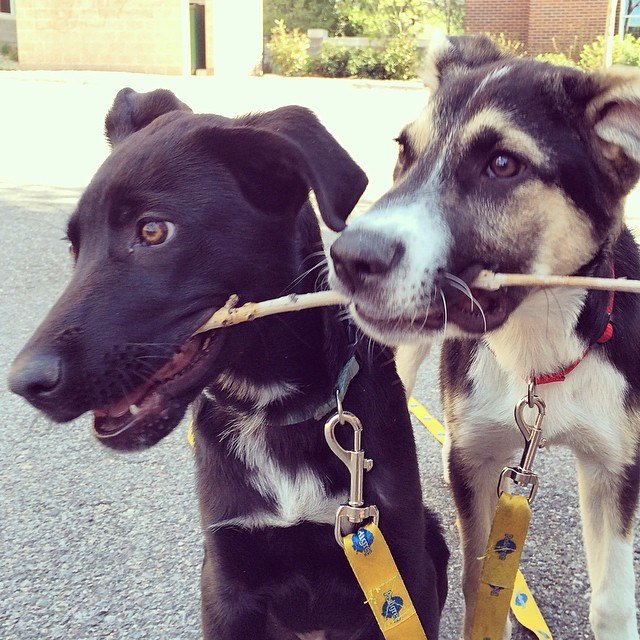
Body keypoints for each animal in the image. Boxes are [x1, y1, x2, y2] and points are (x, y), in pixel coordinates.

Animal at [7, 90, 448, 640]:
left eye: (153, 230)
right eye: (74, 245)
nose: (23, 383)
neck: (271, 407)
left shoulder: (401, 568)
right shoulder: (225, 580)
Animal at [322, 36, 640, 640]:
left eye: (502, 164)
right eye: (405, 151)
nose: (348, 258)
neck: (539, 351)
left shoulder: (616, 464)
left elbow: (612, 602)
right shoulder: (476, 459)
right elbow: (479, 584)